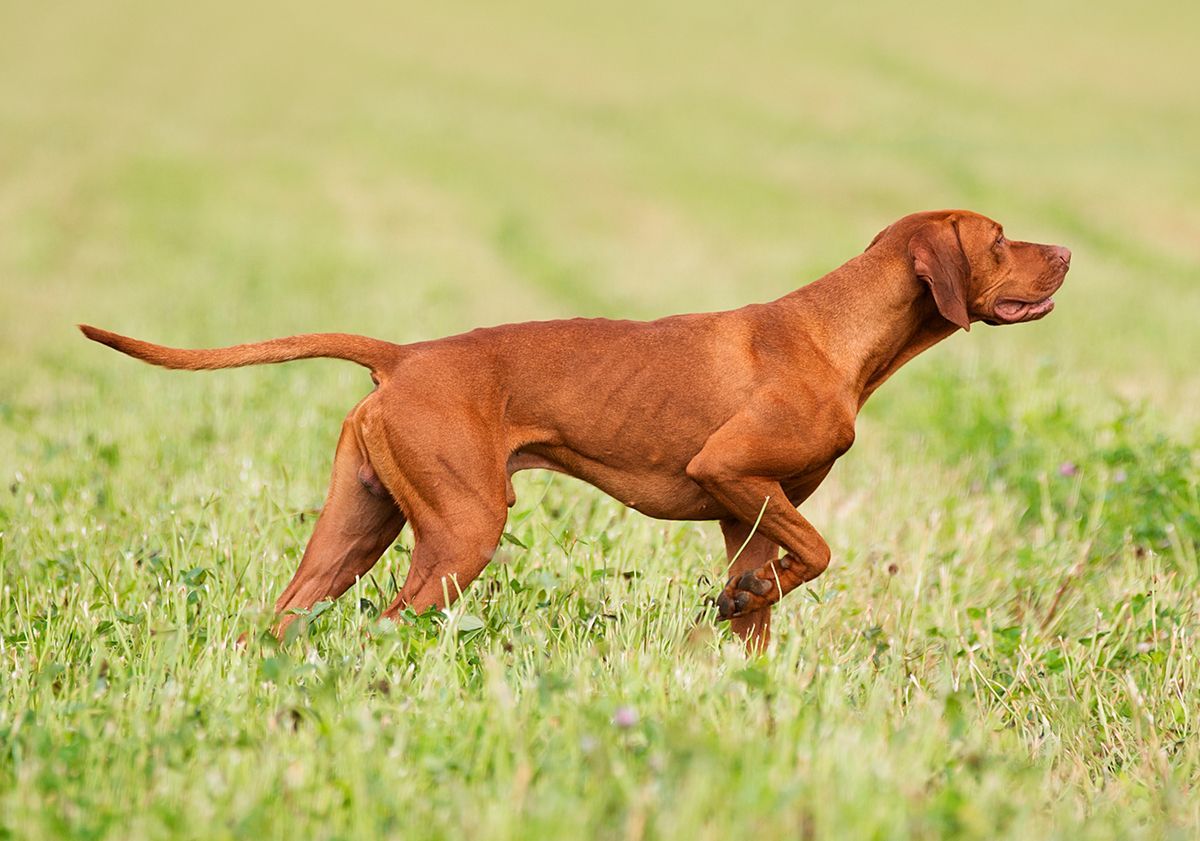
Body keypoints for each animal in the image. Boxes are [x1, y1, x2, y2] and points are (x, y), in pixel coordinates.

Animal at [79, 209, 1070, 647]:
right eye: (999, 238)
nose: (1067, 250)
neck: (838, 332)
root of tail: (404, 355)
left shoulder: (744, 514)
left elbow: (763, 598)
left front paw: (745, 641)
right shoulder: (730, 471)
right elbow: (821, 551)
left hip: (353, 529)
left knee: (284, 618)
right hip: (462, 531)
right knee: (390, 623)